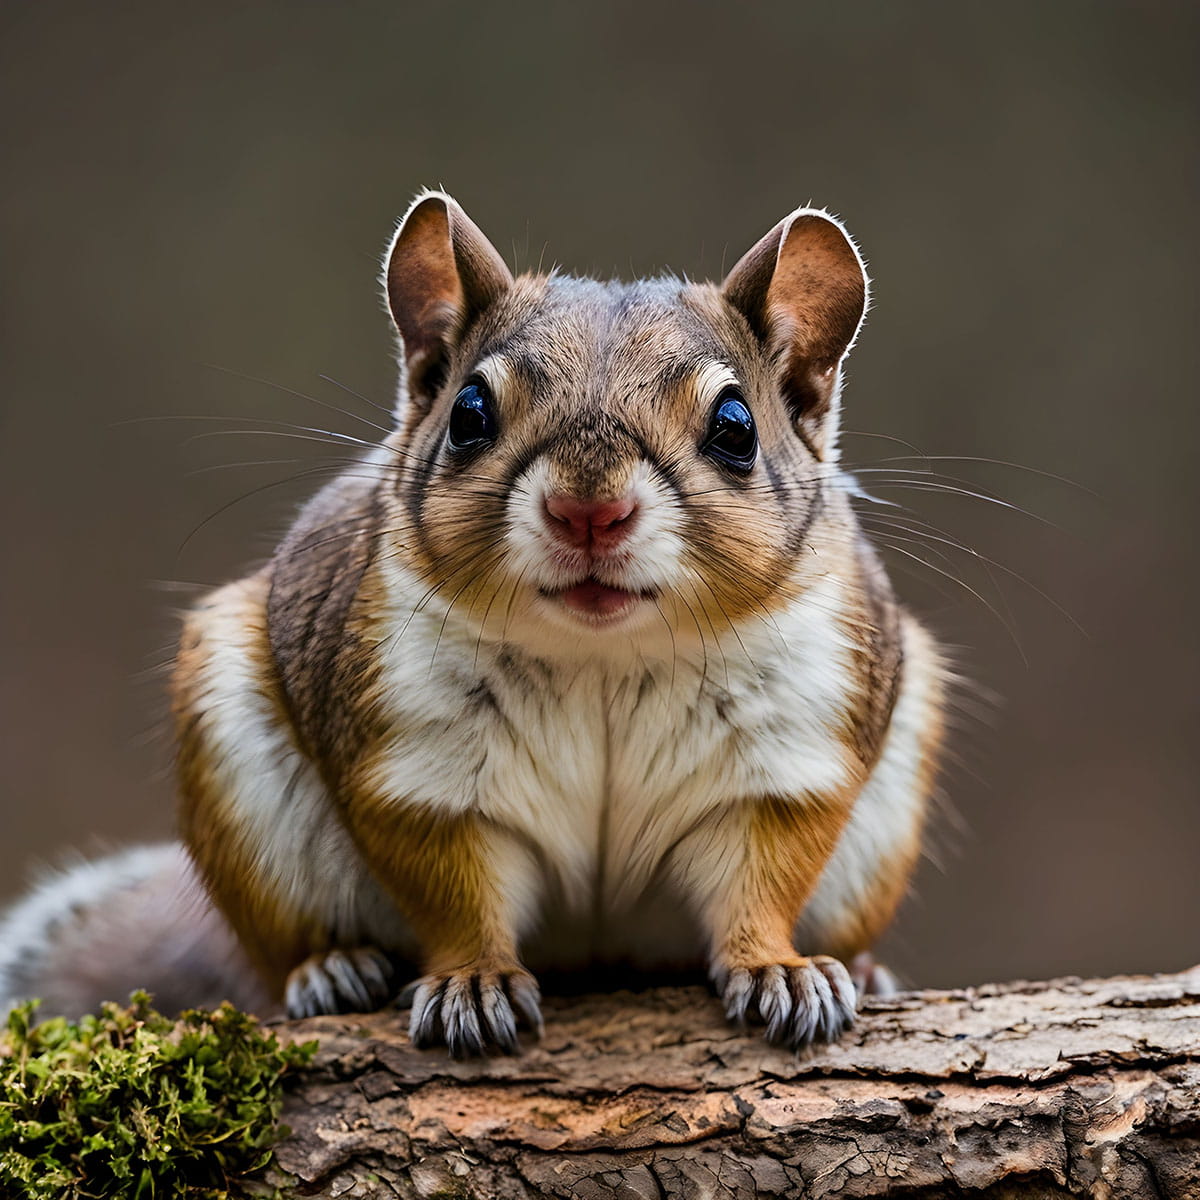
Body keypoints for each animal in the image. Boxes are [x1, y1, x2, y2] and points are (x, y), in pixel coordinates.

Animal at [0, 192, 946, 1057]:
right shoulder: (418, 768)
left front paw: (778, 968)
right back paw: (331, 969)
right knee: (275, 955)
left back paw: (863, 969)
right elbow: (455, 893)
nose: (588, 512)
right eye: (468, 415)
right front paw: (474, 983)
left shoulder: (786, 760)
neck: (604, 656)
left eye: (736, 428)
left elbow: (761, 882)